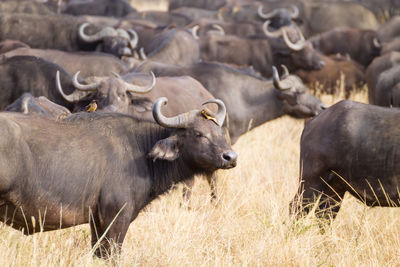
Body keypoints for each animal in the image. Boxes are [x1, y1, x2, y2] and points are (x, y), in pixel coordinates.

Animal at [0, 97, 236, 258]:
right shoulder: (116, 217)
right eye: (198, 134)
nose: (230, 157)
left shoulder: (97, 222)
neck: (140, 151)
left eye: (219, 132)